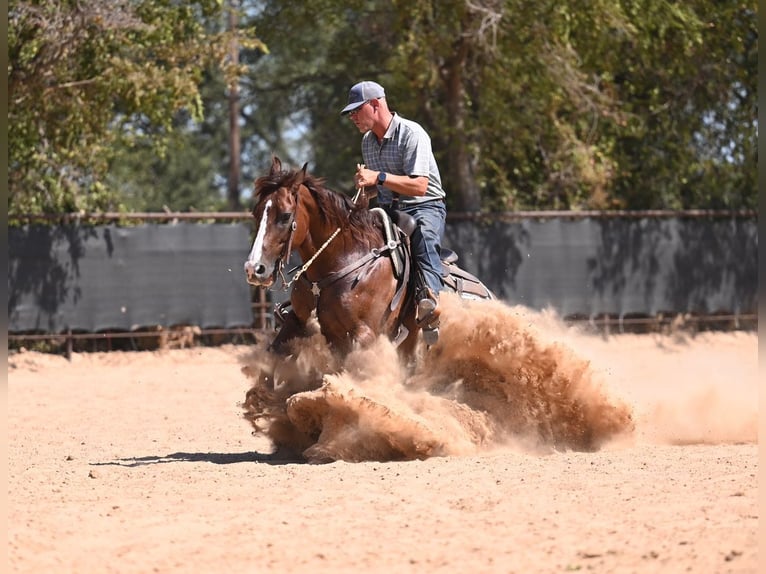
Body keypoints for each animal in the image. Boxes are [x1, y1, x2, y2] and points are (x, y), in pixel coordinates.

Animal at [244, 156, 494, 358]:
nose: (255, 268)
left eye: (285, 216)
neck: (341, 261)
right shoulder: (300, 321)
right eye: (255, 213)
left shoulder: (365, 334)